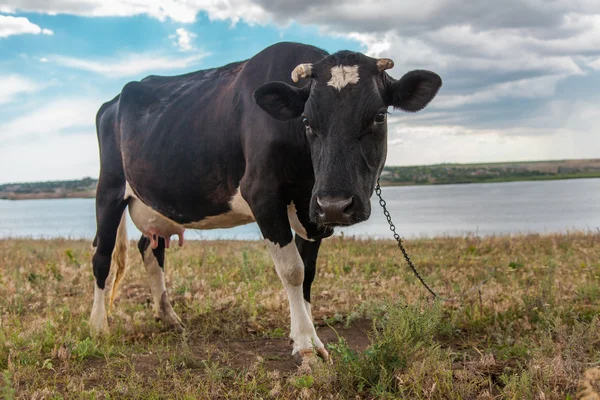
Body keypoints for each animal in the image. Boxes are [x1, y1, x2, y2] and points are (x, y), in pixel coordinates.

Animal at [92, 41, 440, 362]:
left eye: (379, 116)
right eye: (307, 120)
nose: (336, 204)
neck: (308, 179)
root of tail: (112, 101)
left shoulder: (313, 210)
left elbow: (308, 272)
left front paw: (304, 332)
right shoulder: (262, 194)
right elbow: (292, 270)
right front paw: (306, 346)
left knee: (150, 249)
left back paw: (168, 318)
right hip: (108, 189)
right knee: (102, 255)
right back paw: (99, 326)